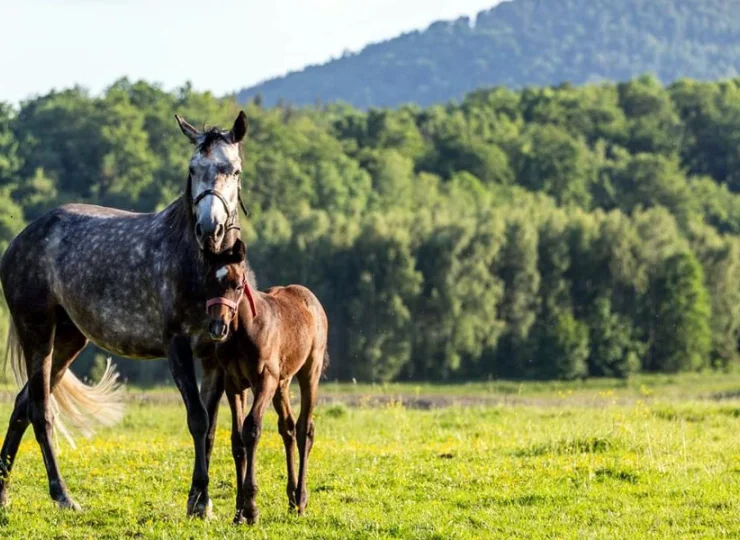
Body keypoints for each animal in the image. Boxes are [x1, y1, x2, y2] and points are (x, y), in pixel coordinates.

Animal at [204, 239, 328, 524]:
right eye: (208, 282)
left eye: (238, 285)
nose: (217, 329)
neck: (243, 331)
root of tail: (311, 300)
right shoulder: (234, 385)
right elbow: (237, 439)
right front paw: (239, 512)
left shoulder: (264, 380)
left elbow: (252, 429)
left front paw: (251, 508)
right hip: (282, 383)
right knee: (288, 427)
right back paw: (292, 498)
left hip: (309, 371)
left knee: (305, 428)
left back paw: (301, 499)